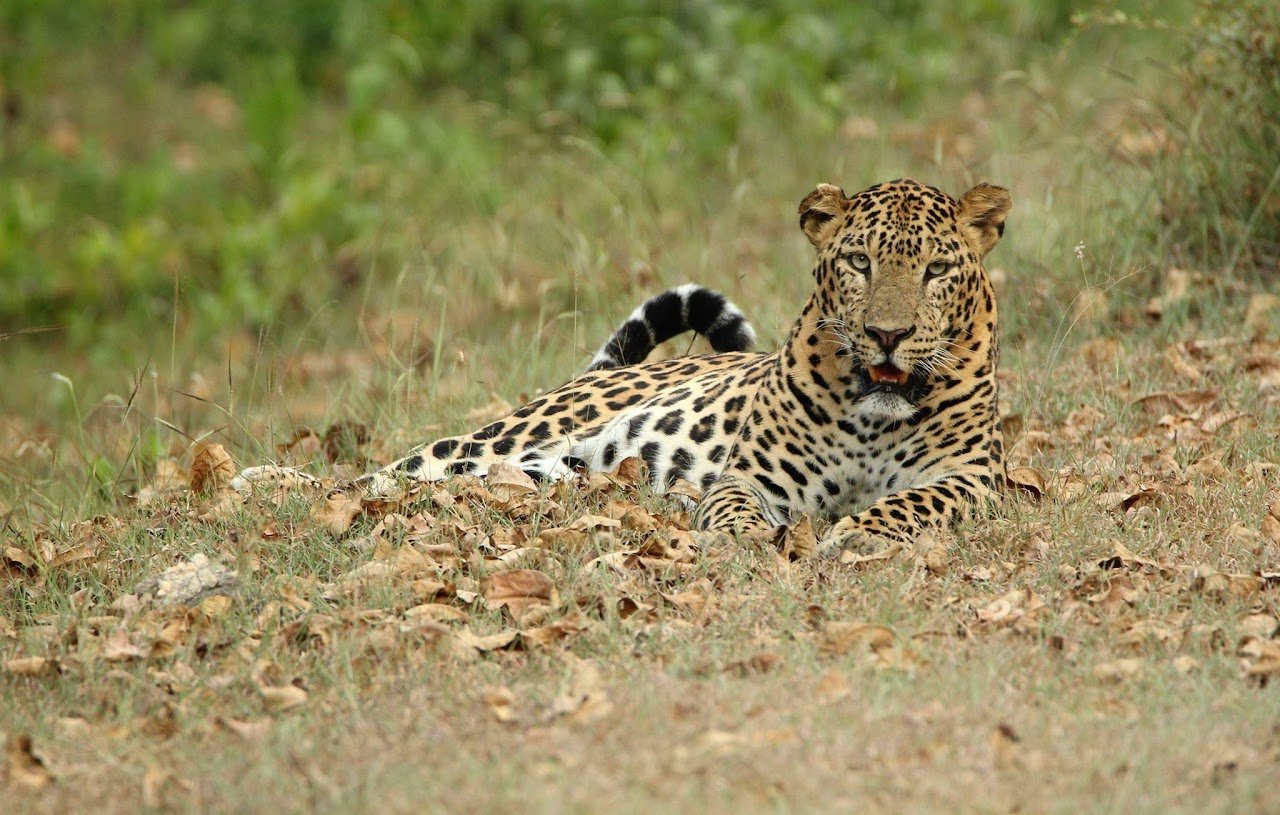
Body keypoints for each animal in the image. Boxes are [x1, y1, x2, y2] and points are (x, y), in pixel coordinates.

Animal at [351, 177, 1012, 554]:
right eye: (859, 262)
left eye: (936, 271)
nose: (887, 335)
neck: (873, 416)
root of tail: (599, 373)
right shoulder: (752, 476)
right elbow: (734, 503)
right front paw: (742, 537)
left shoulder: (974, 477)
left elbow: (913, 502)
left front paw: (863, 531)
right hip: (504, 436)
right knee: (380, 478)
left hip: (539, 474)